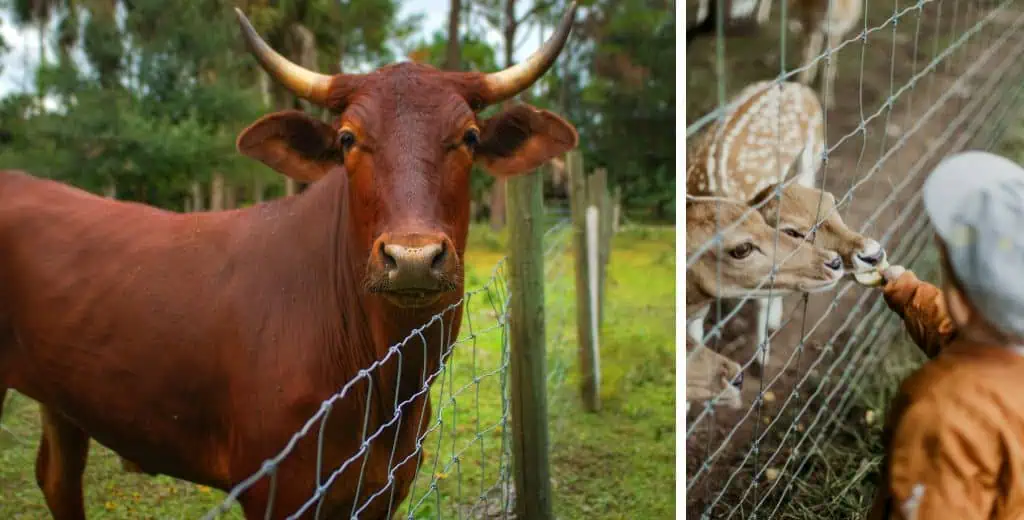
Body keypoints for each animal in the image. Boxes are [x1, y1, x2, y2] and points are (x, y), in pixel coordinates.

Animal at [0, 3, 581, 515]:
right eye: (347, 138)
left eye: (470, 137)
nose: (413, 256)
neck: (387, 384)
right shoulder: (277, 492)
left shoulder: (381, 491)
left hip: (66, 399)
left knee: (58, 479)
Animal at [688, 81, 888, 372]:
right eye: (792, 231)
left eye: (832, 203)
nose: (874, 254)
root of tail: (796, 85)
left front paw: (762, 357)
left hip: (814, 153)